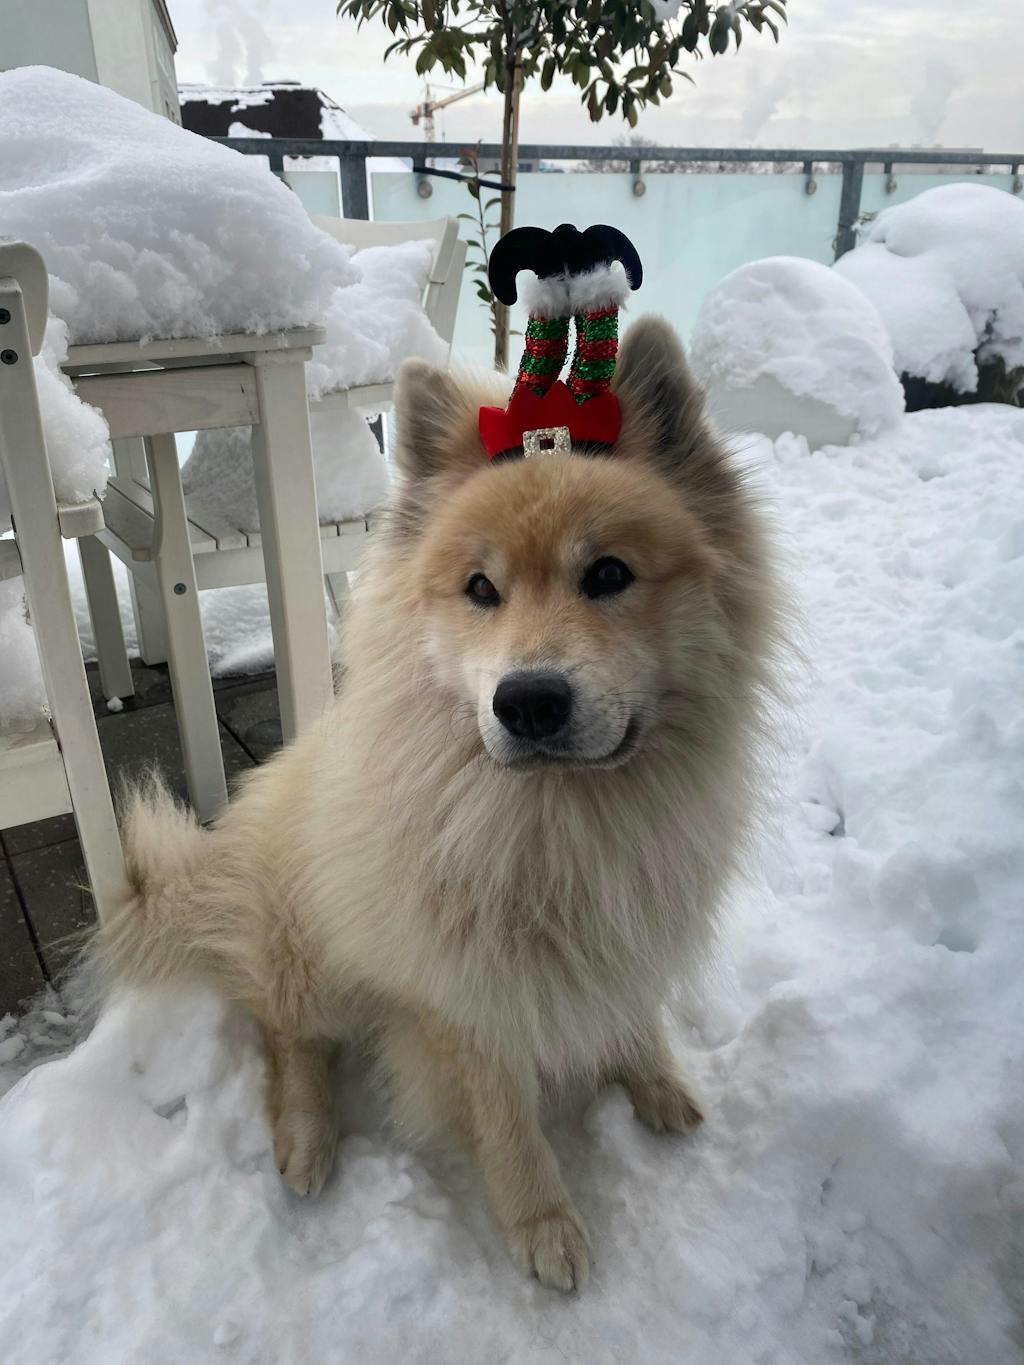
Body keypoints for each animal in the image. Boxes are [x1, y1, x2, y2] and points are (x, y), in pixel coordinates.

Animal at [94, 316, 780, 1292]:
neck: (560, 824)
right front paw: (541, 1223)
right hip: (306, 952)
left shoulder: (630, 920)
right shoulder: (462, 995)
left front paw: (652, 1079)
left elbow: (632, 1011)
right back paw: (308, 1139)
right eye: (480, 589)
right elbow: (506, 1119)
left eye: (609, 573)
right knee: (286, 1034)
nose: (527, 701)